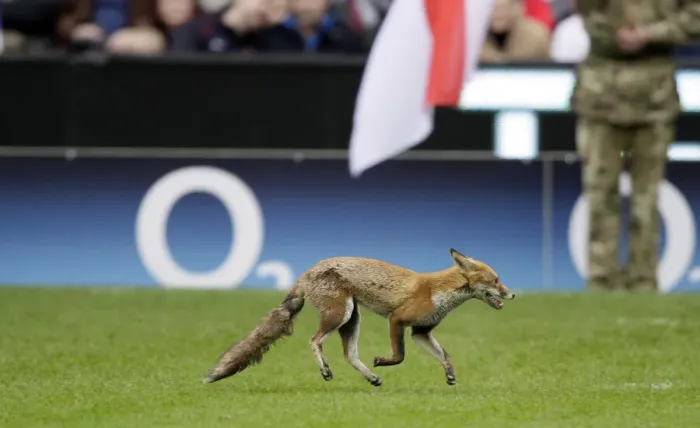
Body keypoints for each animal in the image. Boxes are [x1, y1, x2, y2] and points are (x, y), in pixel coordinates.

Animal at [202, 248, 515, 387]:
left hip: (352, 319)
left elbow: (445, 356)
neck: (438, 292)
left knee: (349, 354)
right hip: (339, 315)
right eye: (495, 281)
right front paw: (383, 360)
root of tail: (306, 271)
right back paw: (326, 371)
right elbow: (399, 356)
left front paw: (450, 376)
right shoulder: (397, 320)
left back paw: (371, 377)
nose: (512, 294)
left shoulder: (421, 332)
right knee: (314, 340)